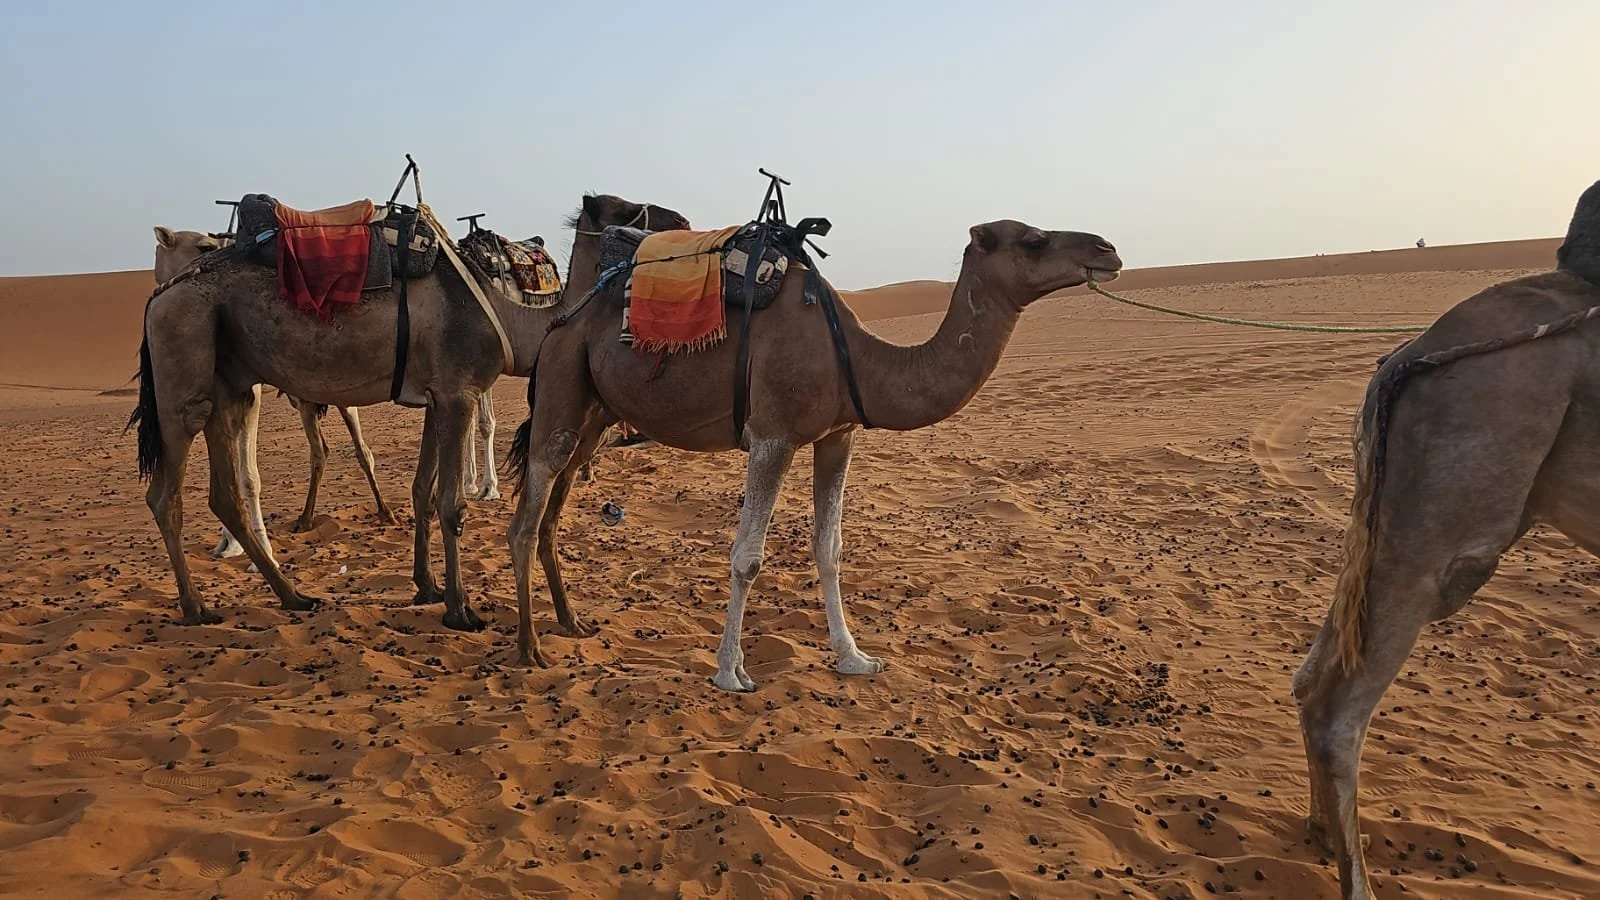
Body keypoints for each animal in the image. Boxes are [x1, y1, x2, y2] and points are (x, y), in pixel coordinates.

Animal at [131, 195, 687, 630]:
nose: (681, 217)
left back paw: (294, 596)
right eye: (631, 210)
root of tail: (158, 295)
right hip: (184, 362)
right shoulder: (460, 392)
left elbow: (422, 491)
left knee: (224, 493)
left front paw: (427, 587)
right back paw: (196, 607)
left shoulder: (436, 397)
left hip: (231, 386)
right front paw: (461, 611)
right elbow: (452, 504)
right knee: (165, 493)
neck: (513, 315)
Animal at [504, 196, 1121, 689]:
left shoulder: (838, 436)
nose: (1108, 248)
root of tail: (563, 319)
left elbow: (830, 549)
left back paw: (570, 622)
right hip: (562, 385)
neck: (859, 357)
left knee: (553, 508)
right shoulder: (772, 436)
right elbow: (747, 557)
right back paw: (530, 648)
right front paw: (730, 672)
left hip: (596, 414)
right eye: (1034, 239)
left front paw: (855, 658)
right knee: (527, 516)